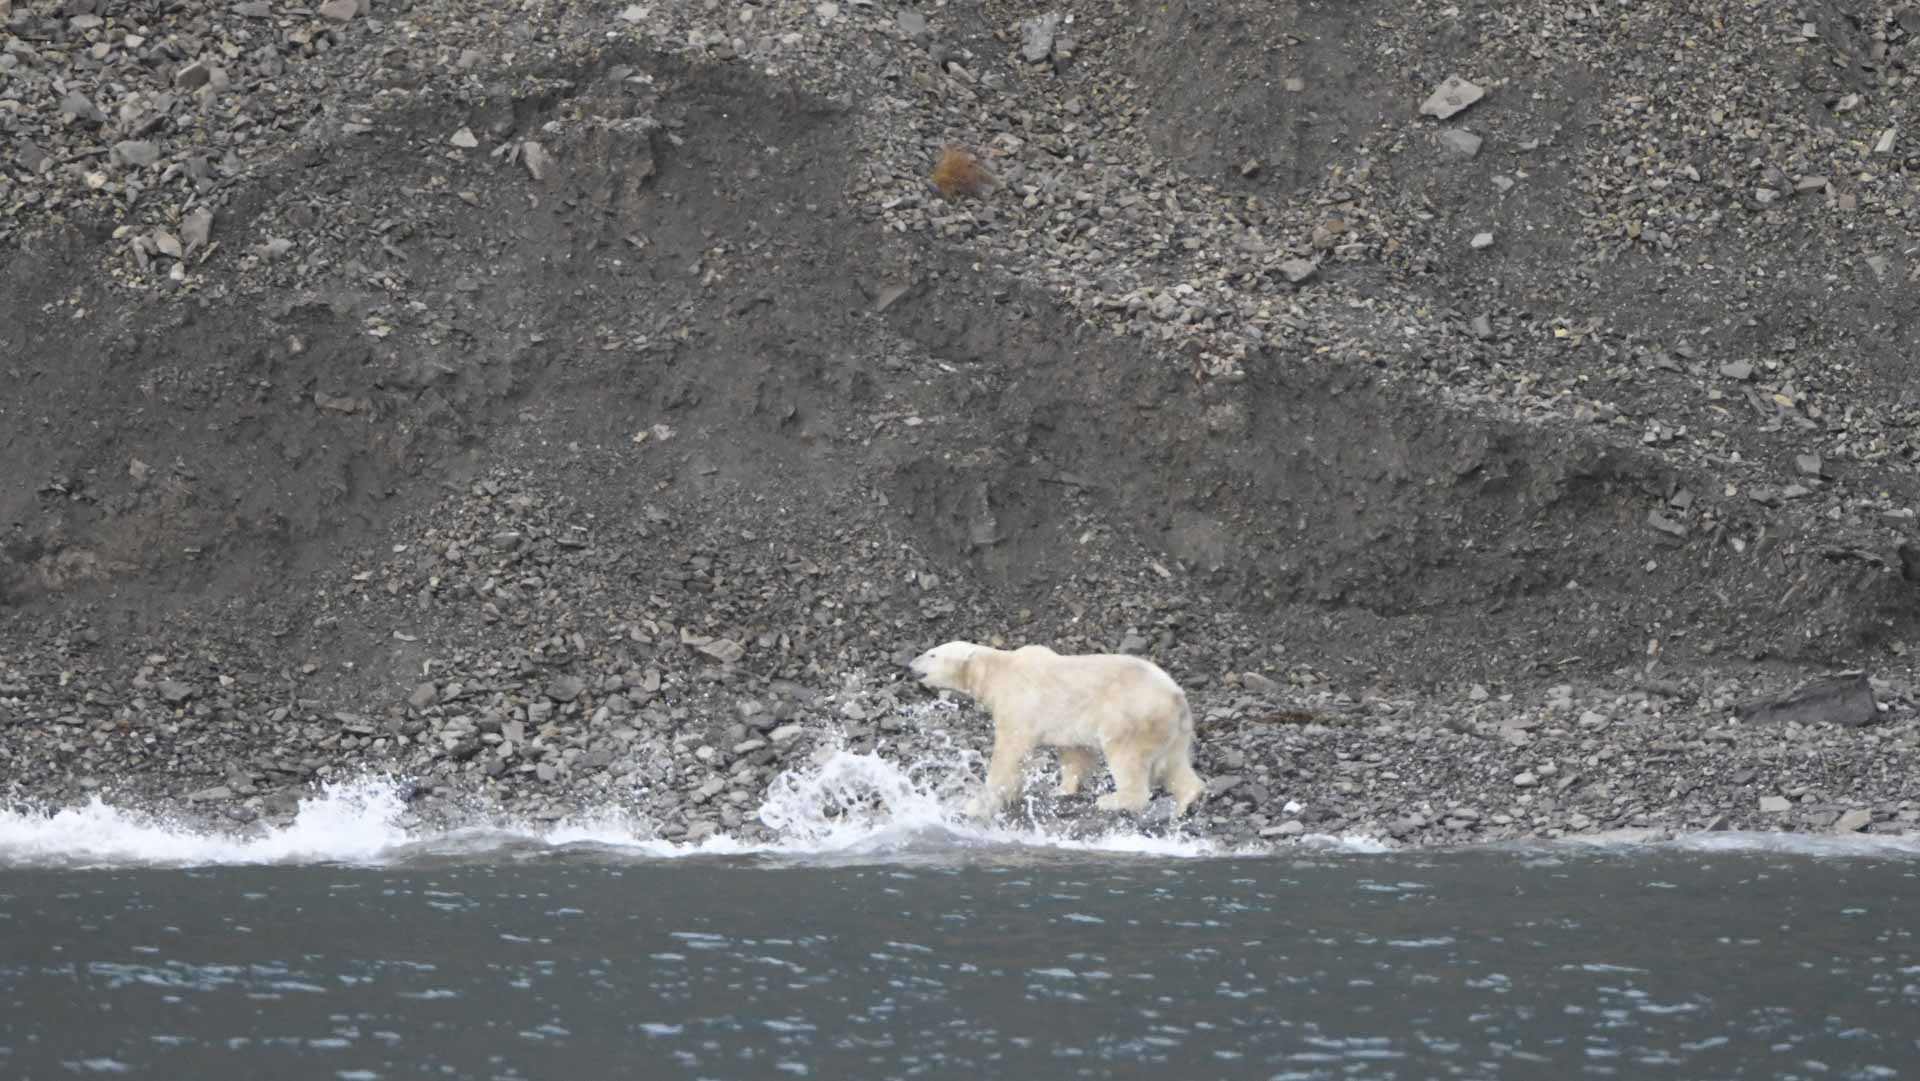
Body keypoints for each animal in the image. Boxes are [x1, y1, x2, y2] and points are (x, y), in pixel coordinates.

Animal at [906, 641, 1205, 821]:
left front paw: (978, 802)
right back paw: (1186, 801)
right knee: (1174, 764)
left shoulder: (1019, 701)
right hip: (1173, 728)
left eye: (932, 653)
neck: (996, 670)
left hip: (1131, 717)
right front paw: (1060, 790)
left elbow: (1009, 750)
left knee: (1127, 758)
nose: (910, 665)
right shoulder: (1070, 722)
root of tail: (1176, 696)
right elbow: (1074, 753)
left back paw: (1113, 800)